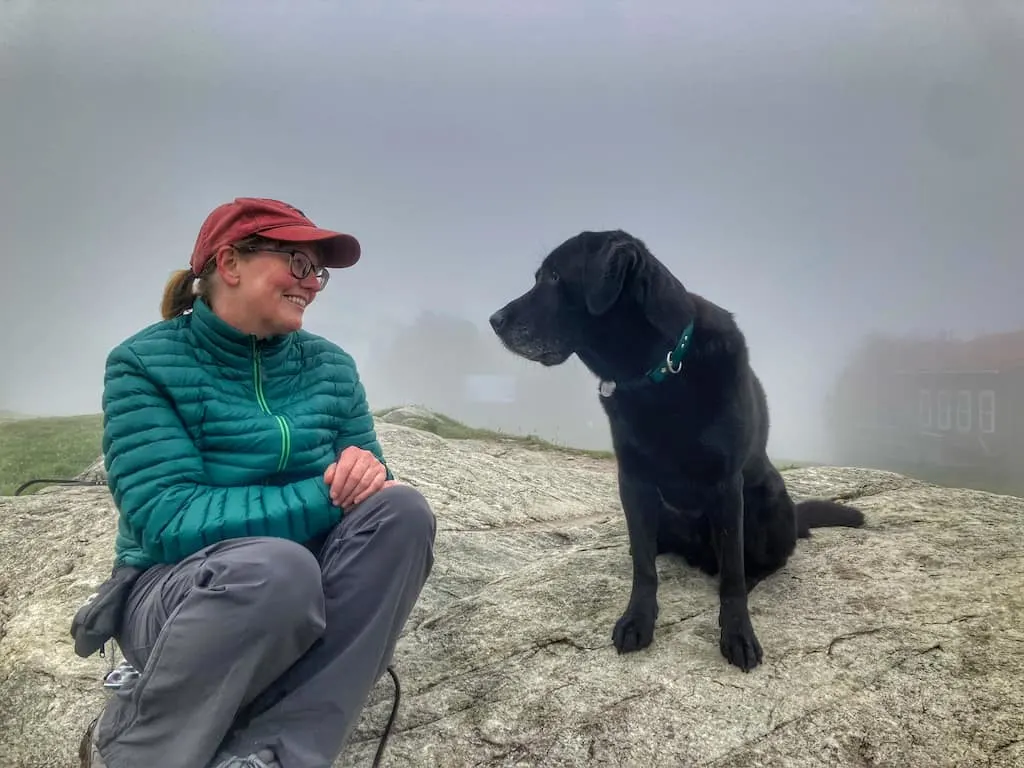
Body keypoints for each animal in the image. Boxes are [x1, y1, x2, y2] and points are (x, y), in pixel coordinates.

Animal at [489, 230, 864, 671]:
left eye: (552, 277)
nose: (494, 320)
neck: (659, 372)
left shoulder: (726, 485)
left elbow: (733, 574)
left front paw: (737, 632)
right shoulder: (632, 481)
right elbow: (643, 565)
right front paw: (638, 619)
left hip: (768, 498)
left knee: (762, 563)